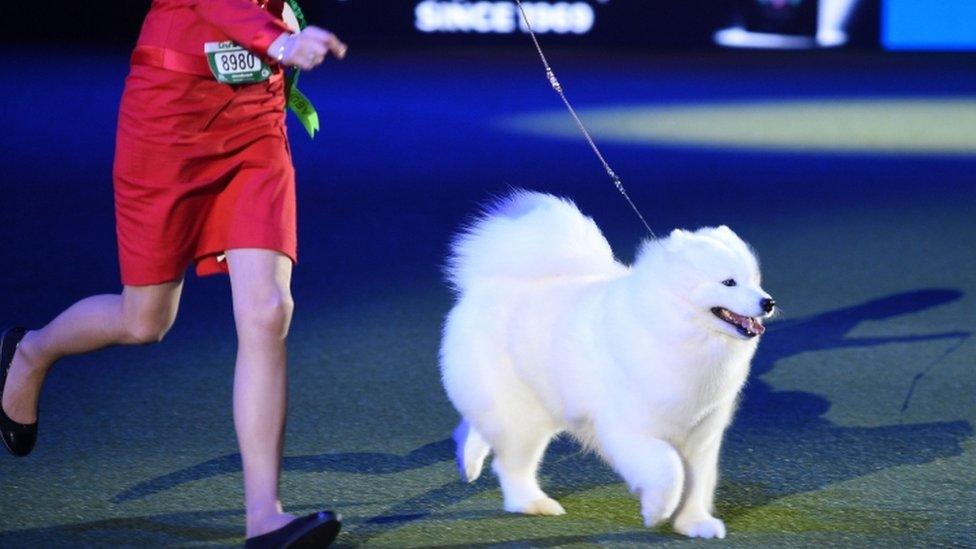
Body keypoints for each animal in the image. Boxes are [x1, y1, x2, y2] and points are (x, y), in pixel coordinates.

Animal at [438, 191, 772, 536]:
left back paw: (467, 458)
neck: (675, 327)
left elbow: (698, 483)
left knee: (479, 428)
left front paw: (696, 524)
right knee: (510, 462)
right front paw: (658, 510)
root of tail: (485, 283)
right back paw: (532, 503)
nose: (768, 302)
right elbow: (669, 469)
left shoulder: (701, 434)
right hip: (521, 415)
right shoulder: (629, 430)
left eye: (755, 280)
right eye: (729, 282)